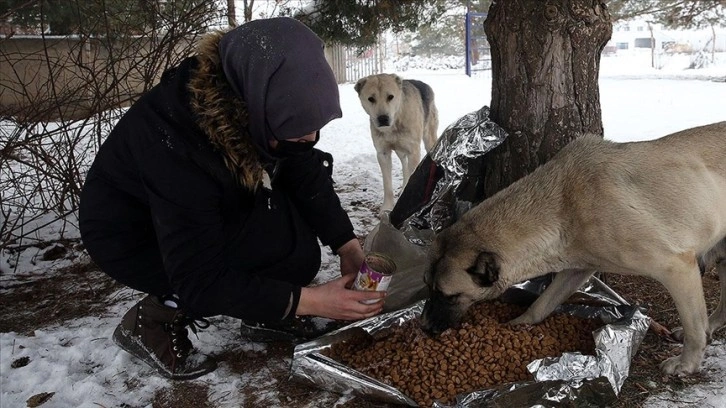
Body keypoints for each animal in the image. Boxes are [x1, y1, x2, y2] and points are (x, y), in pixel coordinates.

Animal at [356, 73, 440, 214]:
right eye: (371, 99)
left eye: (390, 97)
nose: (383, 119)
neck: (395, 122)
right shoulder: (383, 153)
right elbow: (387, 184)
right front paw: (387, 207)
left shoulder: (413, 152)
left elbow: (413, 176)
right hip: (400, 150)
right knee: (404, 166)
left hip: (429, 139)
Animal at [420, 122, 726, 376]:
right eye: (427, 288)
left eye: (449, 296)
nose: (423, 327)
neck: (561, 205)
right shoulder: (576, 268)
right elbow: (542, 303)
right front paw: (518, 324)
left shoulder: (676, 268)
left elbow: (694, 327)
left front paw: (687, 364)